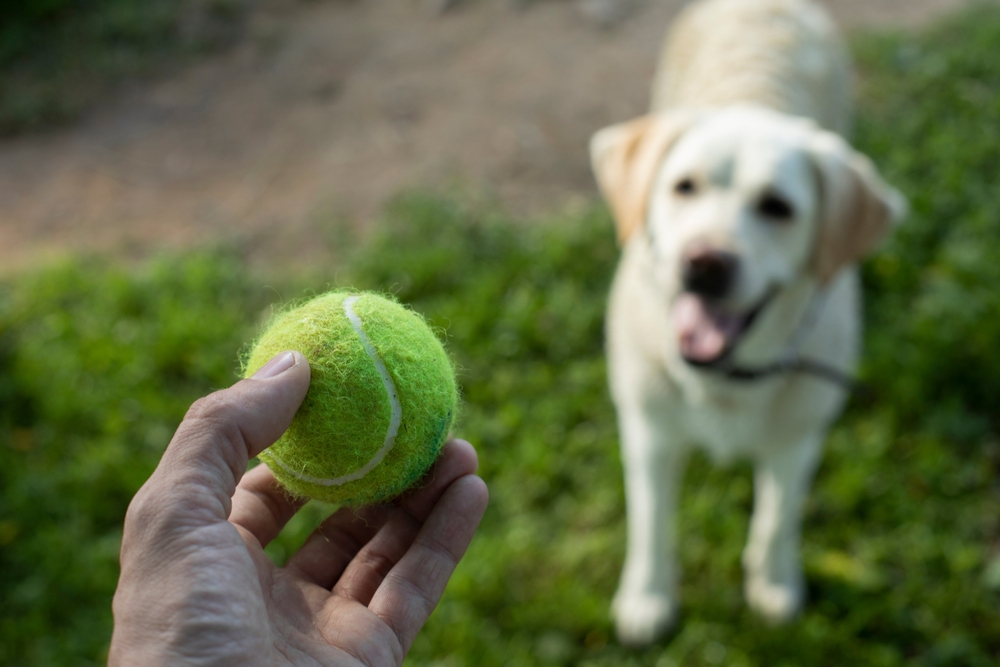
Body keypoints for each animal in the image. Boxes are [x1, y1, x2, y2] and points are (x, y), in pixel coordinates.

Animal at [588, 0, 912, 648]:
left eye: (777, 208)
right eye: (683, 187)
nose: (704, 263)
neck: (725, 378)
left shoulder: (798, 440)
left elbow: (775, 519)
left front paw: (775, 583)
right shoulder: (649, 432)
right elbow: (652, 523)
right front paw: (648, 596)